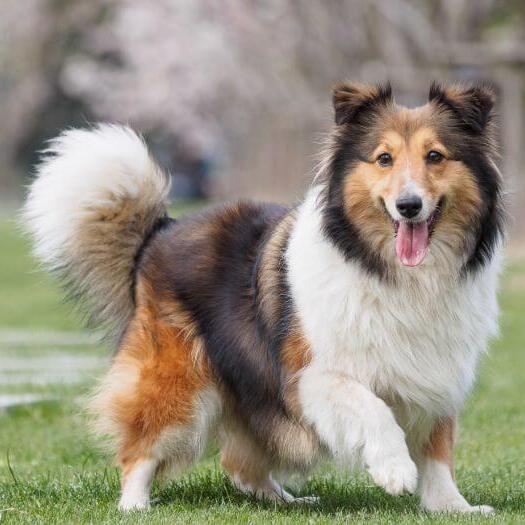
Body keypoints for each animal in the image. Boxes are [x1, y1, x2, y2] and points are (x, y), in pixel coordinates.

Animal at [23, 82, 504, 512]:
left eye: (435, 156)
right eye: (384, 159)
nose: (409, 206)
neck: (389, 270)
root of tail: (161, 229)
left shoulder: (436, 372)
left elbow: (438, 450)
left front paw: (453, 507)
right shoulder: (312, 376)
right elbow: (373, 408)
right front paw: (394, 468)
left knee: (239, 462)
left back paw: (286, 500)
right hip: (179, 381)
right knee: (141, 446)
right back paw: (135, 504)